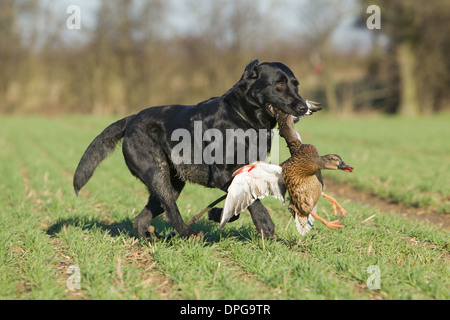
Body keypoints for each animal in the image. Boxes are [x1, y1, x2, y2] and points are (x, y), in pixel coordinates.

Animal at [72, 60, 314, 240]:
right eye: (279, 85)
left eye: (296, 85)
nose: (304, 107)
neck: (242, 118)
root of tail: (131, 119)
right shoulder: (223, 174)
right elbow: (255, 204)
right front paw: (267, 227)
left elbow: (239, 203)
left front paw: (218, 214)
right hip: (158, 174)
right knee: (171, 210)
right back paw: (188, 234)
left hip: (173, 183)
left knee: (142, 218)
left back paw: (150, 240)